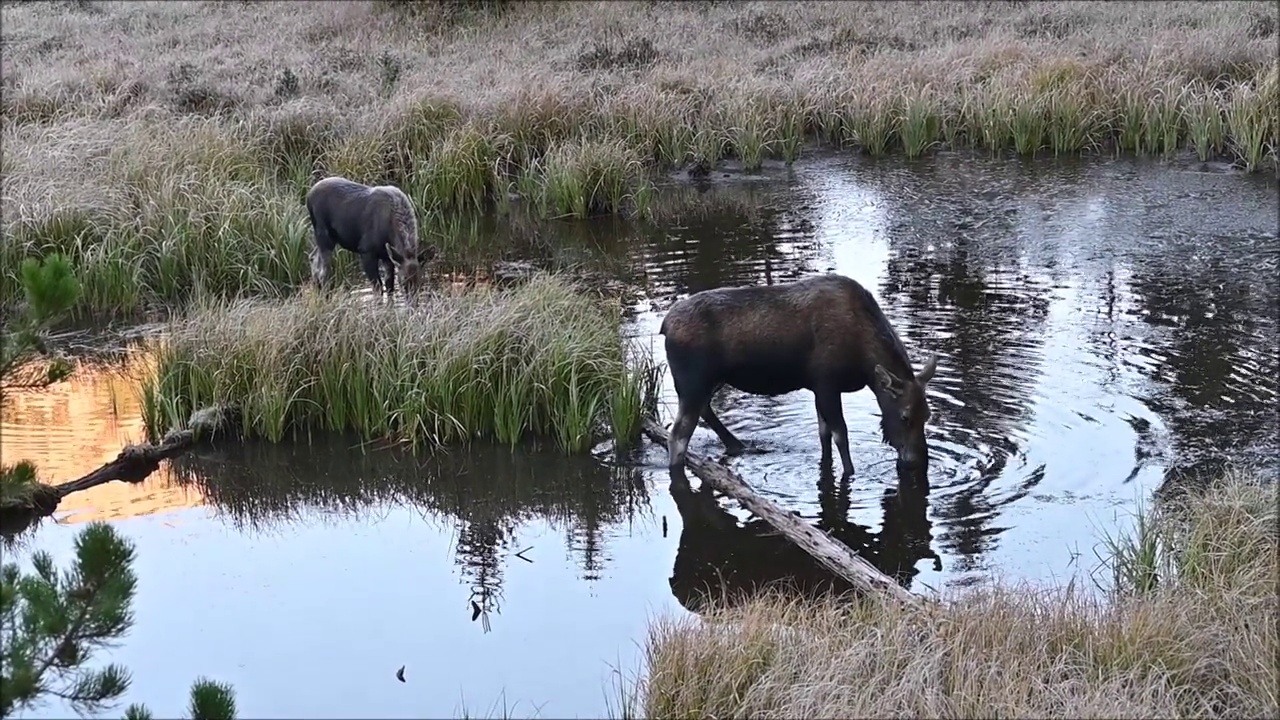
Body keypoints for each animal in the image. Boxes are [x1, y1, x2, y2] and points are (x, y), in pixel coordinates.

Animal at [304, 175, 435, 295]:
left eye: (420, 283)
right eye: (403, 282)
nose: (413, 305)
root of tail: (308, 197)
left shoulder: (386, 256)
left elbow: (389, 287)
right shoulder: (366, 250)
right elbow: (378, 288)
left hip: (329, 238)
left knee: (313, 257)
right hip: (323, 234)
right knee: (323, 271)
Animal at [660, 271, 942, 479]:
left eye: (927, 415)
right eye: (905, 416)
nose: (918, 463)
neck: (863, 361)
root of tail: (664, 326)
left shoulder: (818, 388)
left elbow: (824, 435)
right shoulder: (827, 384)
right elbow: (841, 435)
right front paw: (850, 472)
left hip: (711, 381)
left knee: (705, 411)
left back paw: (738, 444)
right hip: (693, 381)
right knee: (678, 435)